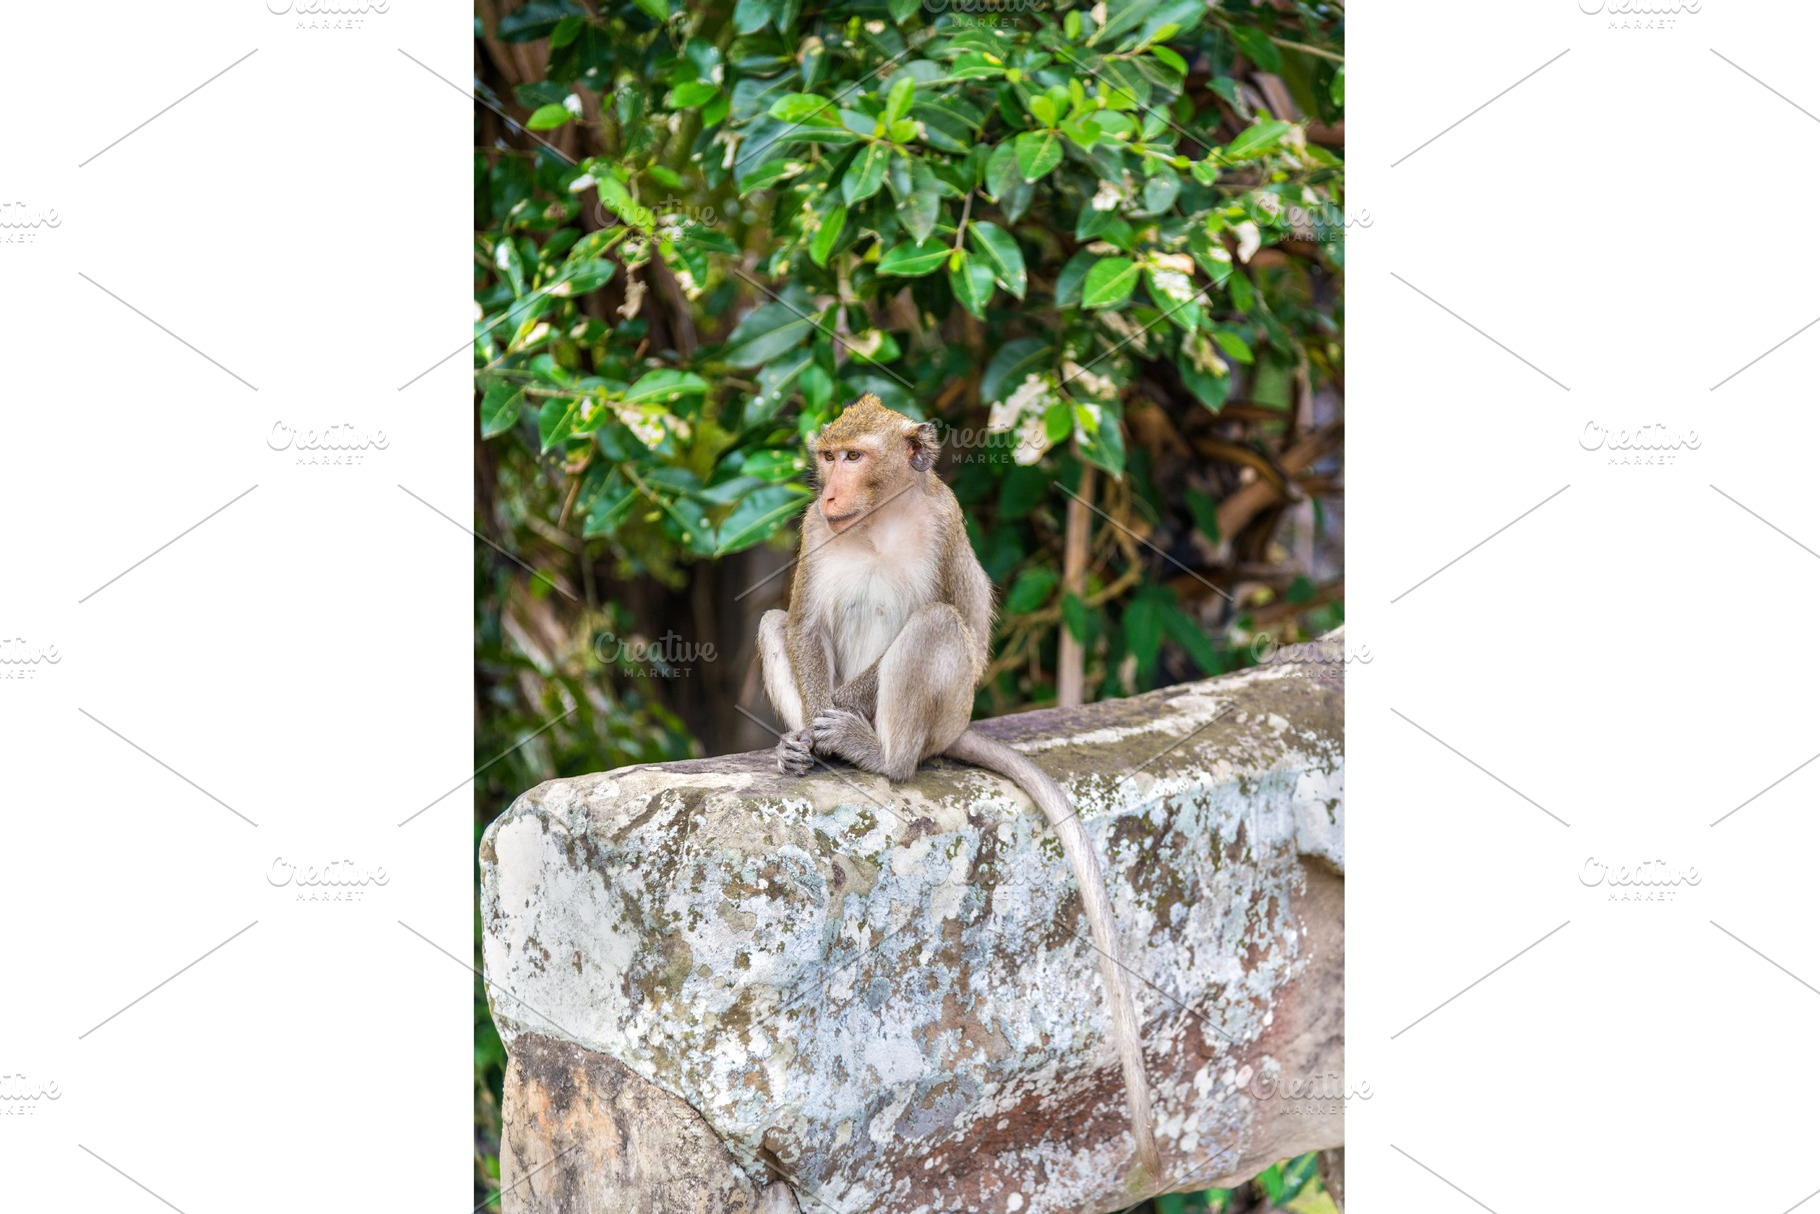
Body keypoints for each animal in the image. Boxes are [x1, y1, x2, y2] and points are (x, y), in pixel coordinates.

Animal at [756, 394, 1161, 1183]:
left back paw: (878, 755)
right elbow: (805, 624)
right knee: (776, 621)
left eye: (853, 457)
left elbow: (945, 615)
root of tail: (955, 730)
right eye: (828, 457)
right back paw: (803, 753)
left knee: (937, 626)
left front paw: (835, 725)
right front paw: (805, 738)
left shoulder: (943, 524)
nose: (829, 489)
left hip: (945, 711)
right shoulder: (815, 529)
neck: (877, 518)